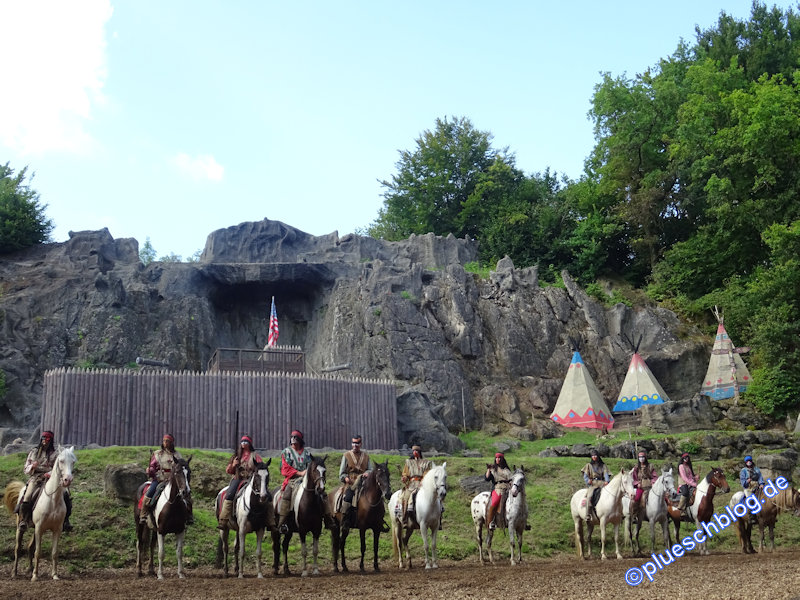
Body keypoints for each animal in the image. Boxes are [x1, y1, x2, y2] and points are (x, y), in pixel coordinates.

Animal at [3, 446, 76, 581]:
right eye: (61, 461)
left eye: (73, 462)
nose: (67, 480)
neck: (53, 499)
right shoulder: (39, 528)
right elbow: (38, 552)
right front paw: (35, 576)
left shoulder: (56, 529)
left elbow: (54, 552)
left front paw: (54, 575)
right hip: (22, 527)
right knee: (18, 548)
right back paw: (14, 572)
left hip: (34, 528)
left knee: (29, 547)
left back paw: (30, 569)